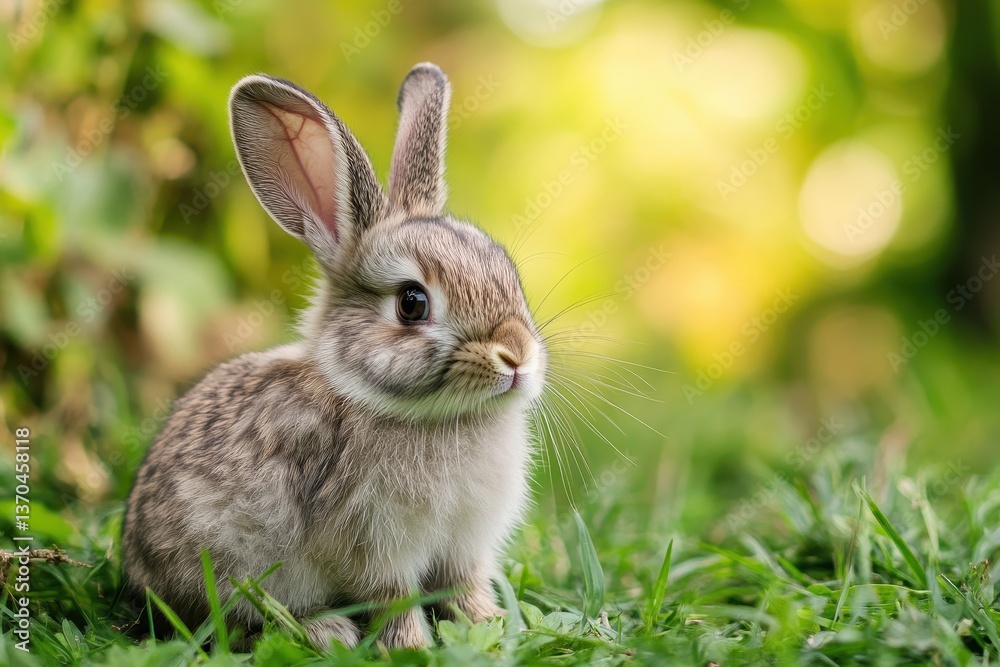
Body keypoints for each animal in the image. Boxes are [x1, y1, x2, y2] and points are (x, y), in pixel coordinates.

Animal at [121, 63, 546, 651]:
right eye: (412, 303)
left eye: (509, 273)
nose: (517, 357)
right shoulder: (373, 545)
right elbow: (394, 598)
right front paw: (413, 648)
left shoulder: (463, 549)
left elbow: (465, 589)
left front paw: (495, 627)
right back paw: (327, 631)